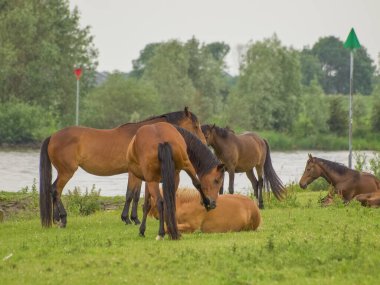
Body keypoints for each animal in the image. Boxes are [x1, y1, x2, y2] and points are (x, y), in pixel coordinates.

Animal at [39, 107, 206, 227]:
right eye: (196, 125)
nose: (204, 142)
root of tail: (53, 136)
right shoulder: (133, 173)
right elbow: (130, 195)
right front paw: (127, 219)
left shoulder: (138, 175)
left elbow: (136, 195)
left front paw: (133, 218)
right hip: (66, 172)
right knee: (55, 190)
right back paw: (63, 219)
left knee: (54, 191)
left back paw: (56, 219)